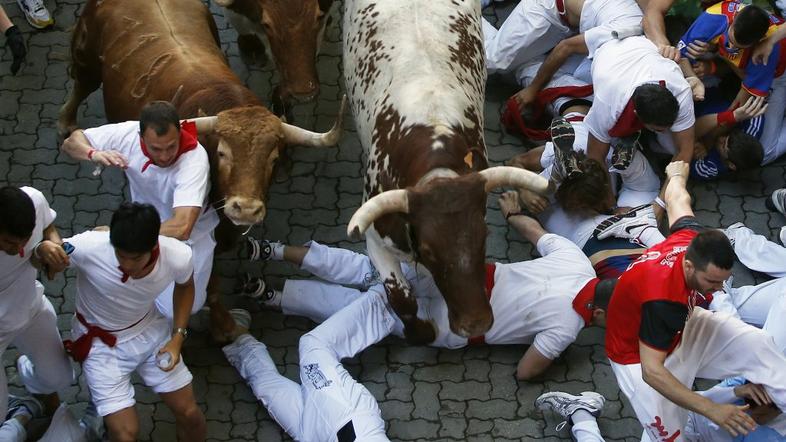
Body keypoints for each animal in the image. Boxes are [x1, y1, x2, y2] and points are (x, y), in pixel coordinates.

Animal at [59, 0, 344, 342]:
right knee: (79, 82)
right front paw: (224, 327)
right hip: (86, 54)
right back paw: (66, 122)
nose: (246, 209)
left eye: (273, 159)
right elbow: (207, 284)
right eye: (222, 154)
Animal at [340, 0, 548, 344]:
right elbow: (400, 297)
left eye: (484, 236)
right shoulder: (374, 237)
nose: (475, 324)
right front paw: (422, 332)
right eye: (428, 249)